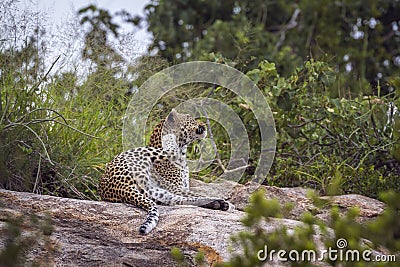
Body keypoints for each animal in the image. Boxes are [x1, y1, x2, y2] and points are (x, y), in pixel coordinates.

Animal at [98, 110, 231, 236]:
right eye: (190, 119)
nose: (203, 124)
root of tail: (118, 186)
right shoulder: (175, 186)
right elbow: (195, 193)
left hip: (154, 191)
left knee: (176, 200)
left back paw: (217, 204)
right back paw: (220, 203)